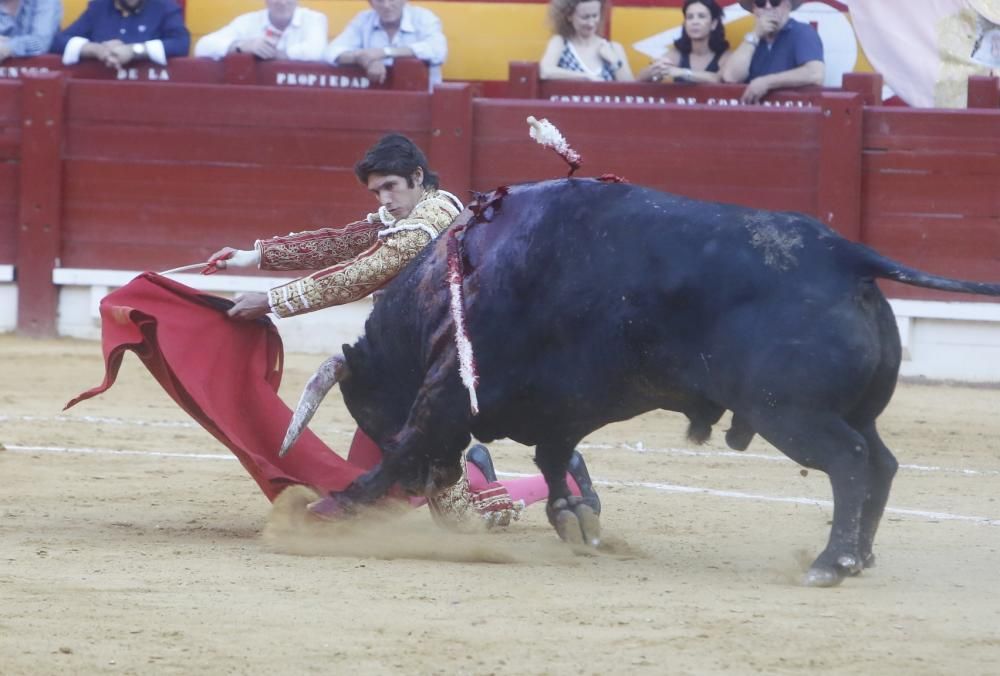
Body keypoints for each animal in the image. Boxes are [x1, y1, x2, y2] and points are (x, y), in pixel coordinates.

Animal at [280, 178, 1000, 588]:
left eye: (370, 412)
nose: (438, 484)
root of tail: (845, 255)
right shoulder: (561, 407)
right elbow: (554, 458)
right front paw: (575, 523)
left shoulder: (449, 395)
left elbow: (410, 443)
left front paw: (331, 510)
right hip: (853, 412)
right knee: (881, 461)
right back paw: (861, 555)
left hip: (792, 414)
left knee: (850, 462)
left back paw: (831, 563)